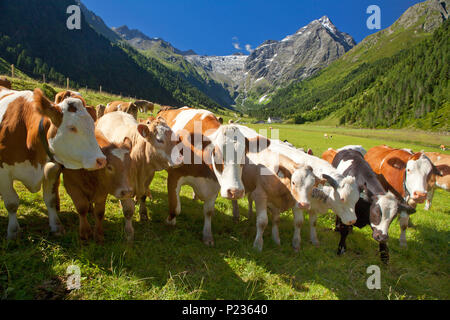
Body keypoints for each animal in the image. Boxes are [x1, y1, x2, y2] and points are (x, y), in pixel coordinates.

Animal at [0, 86, 106, 239]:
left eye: (93, 126)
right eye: (72, 128)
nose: (101, 160)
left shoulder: (53, 169)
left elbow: (50, 199)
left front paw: (56, 225)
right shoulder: (3, 172)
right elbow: (12, 203)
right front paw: (13, 232)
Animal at [96, 111, 184, 239]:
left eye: (176, 139)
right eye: (159, 139)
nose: (180, 160)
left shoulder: (148, 179)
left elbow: (143, 197)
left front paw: (143, 214)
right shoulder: (125, 186)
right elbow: (128, 210)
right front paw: (129, 232)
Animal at [158, 107, 268, 245]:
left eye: (245, 155)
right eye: (216, 153)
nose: (235, 192)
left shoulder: (214, 184)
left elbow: (208, 211)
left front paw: (207, 235)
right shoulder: (174, 175)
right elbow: (175, 207)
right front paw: (169, 222)